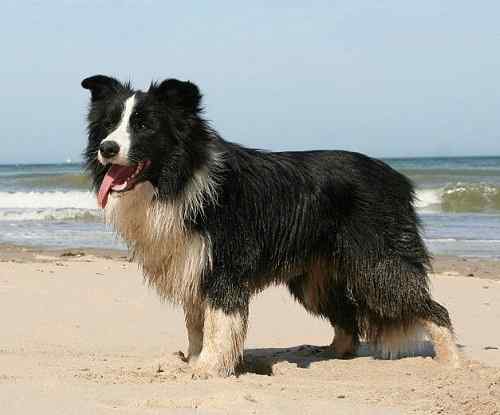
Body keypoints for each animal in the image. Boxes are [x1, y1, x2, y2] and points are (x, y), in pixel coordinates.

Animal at [82, 75, 460, 376]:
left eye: (144, 125)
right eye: (109, 123)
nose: (107, 147)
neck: (180, 176)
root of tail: (397, 177)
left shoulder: (224, 265)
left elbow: (218, 322)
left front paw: (208, 368)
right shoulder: (192, 263)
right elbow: (196, 324)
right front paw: (194, 360)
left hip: (375, 262)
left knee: (431, 307)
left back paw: (452, 362)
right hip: (315, 278)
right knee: (347, 316)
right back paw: (331, 351)